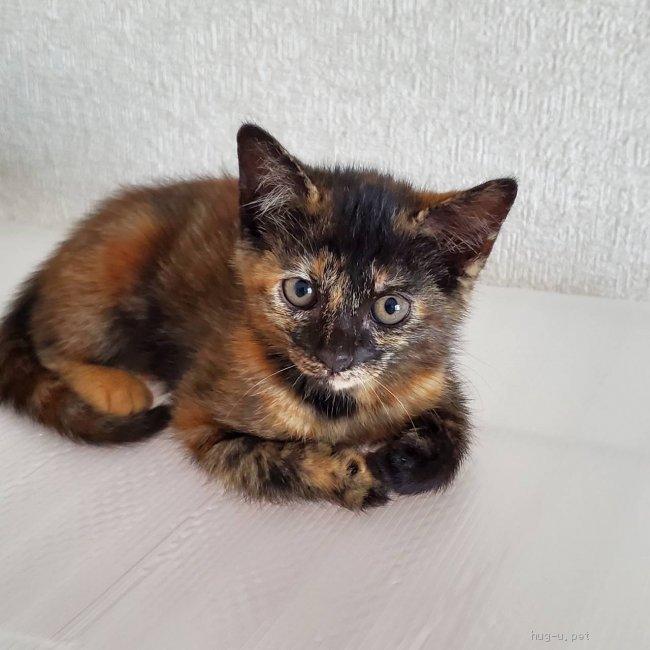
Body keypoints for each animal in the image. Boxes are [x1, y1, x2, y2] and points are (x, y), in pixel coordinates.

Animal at [0, 124, 517, 509]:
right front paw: (349, 474)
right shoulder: (197, 415)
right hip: (117, 260)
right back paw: (114, 385)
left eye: (390, 307)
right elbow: (271, 461)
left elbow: (457, 432)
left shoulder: (434, 377)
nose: (337, 357)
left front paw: (404, 464)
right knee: (47, 342)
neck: (339, 407)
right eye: (301, 291)